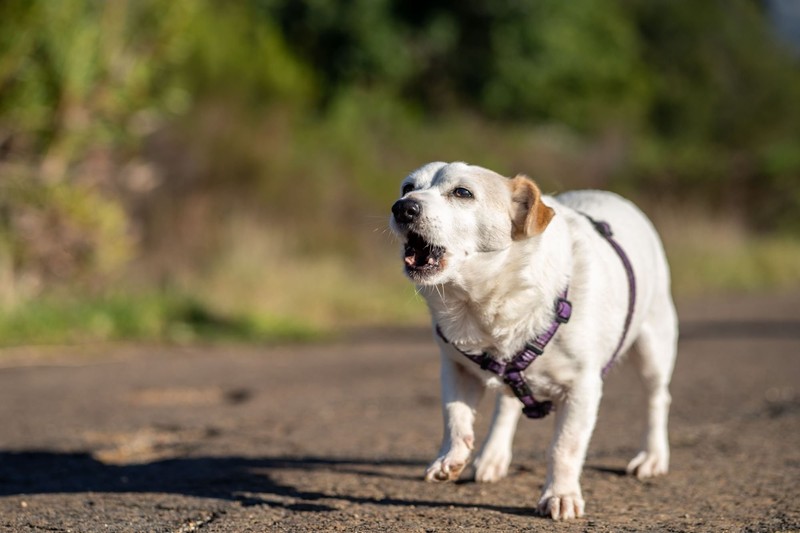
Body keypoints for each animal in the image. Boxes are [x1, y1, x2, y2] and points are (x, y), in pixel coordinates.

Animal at [390, 162, 680, 520]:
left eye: (462, 192)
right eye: (407, 188)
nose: (402, 207)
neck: (486, 304)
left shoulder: (582, 388)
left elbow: (564, 446)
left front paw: (561, 494)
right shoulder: (456, 369)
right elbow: (454, 417)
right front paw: (450, 458)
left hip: (653, 346)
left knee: (657, 398)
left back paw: (652, 457)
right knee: (508, 404)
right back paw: (493, 456)